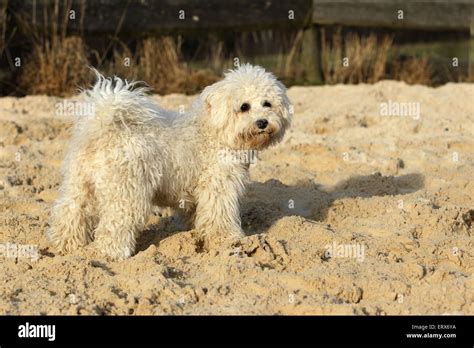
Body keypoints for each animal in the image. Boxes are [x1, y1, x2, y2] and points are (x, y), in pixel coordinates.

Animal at [49, 64, 292, 260]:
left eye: (267, 103)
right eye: (244, 107)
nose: (263, 122)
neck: (215, 132)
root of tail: (103, 127)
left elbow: (199, 216)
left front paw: (199, 236)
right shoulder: (219, 187)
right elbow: (219, 216)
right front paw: (228, 240)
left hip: (79, 186)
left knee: (69, 214)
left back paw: (65, 248)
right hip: (125, 193)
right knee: (114, 225)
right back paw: (112, 254)